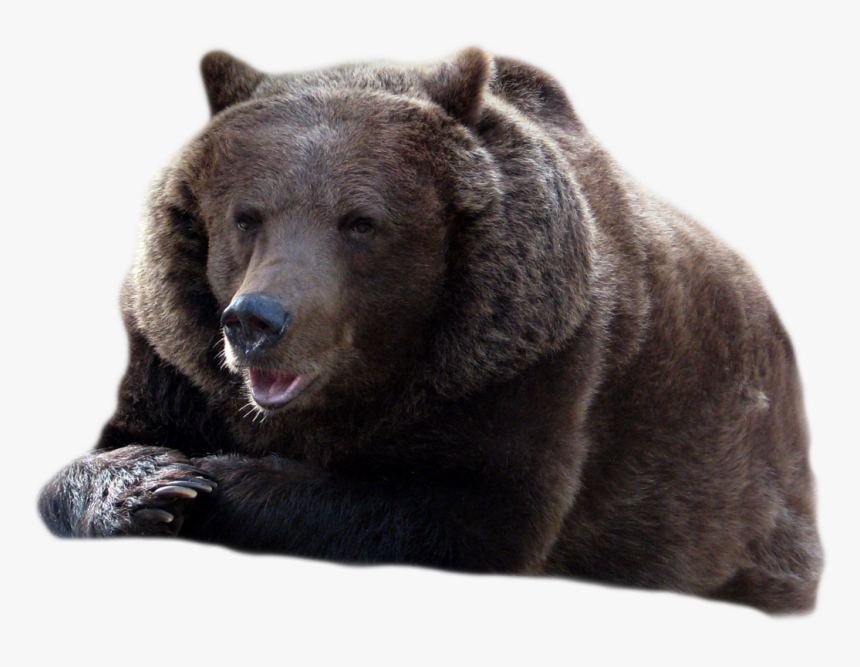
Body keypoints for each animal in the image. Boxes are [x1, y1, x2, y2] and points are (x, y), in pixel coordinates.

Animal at [39, 48, 822, 614]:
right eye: (246, 216)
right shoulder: (175, 359)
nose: (257, 320)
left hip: (740, 496)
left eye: (360, 221)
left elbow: (459, 508)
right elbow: (92, 456)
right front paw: (152, 481)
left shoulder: (527, 360)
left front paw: (212, 480)